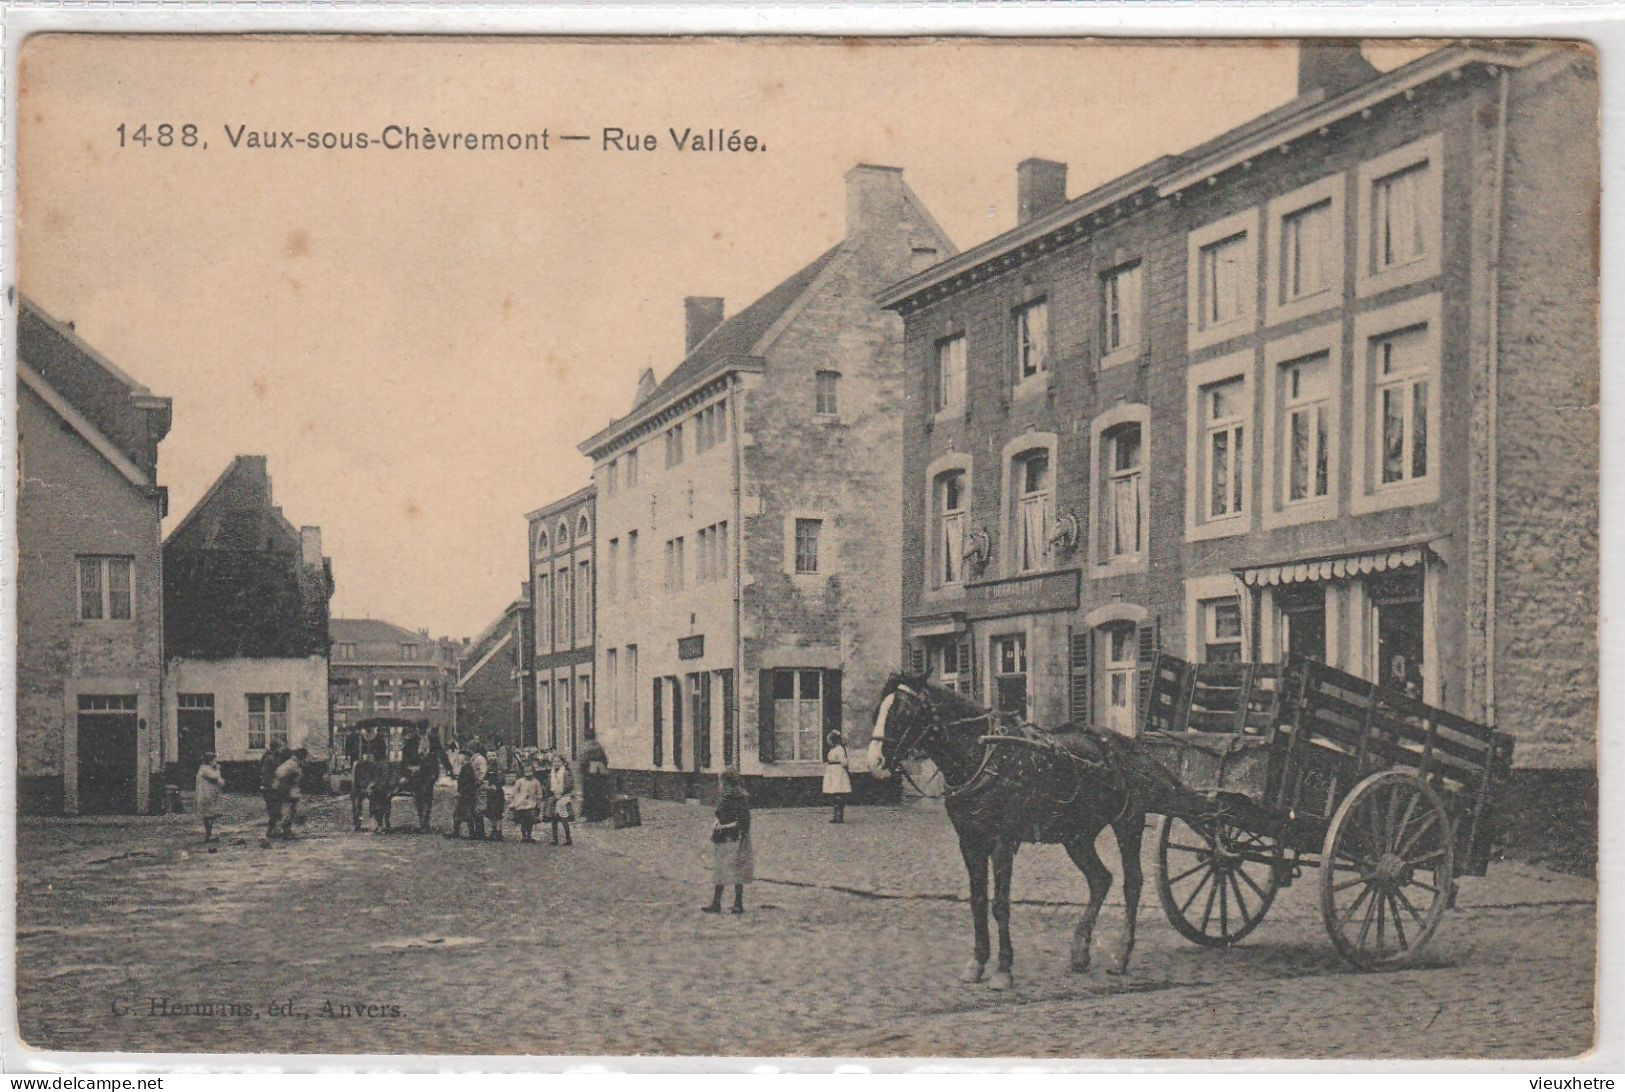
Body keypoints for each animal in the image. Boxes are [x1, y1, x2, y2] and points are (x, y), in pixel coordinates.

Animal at [871, 669, 1202, 988]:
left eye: (903, 711)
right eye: (878, 709)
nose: (874, 761)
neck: (983, 754)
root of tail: (1128, 745)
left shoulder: (1003, 841)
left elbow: (1000, 904)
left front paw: (1003, 969)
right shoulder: (970, 841)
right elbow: (977, 902)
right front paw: (977, 963)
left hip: (1128, 822)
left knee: (1131, 883)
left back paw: (1121, 955)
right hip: (1077, 836)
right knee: (1100, 880)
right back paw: (1080, 950)